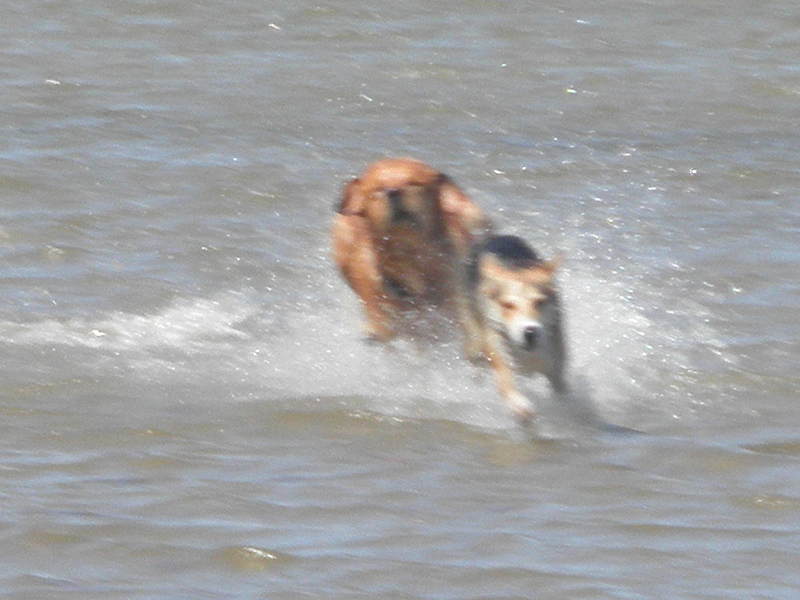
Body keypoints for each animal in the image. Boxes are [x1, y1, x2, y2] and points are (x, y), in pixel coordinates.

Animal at [462, 232, 568, 424]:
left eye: (539, 302)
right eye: (508, 305)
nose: (530, 332)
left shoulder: (556, 367)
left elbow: (560, 389)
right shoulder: (500, 355)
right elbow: (506, 386)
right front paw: (520, 406)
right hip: (474, 340)